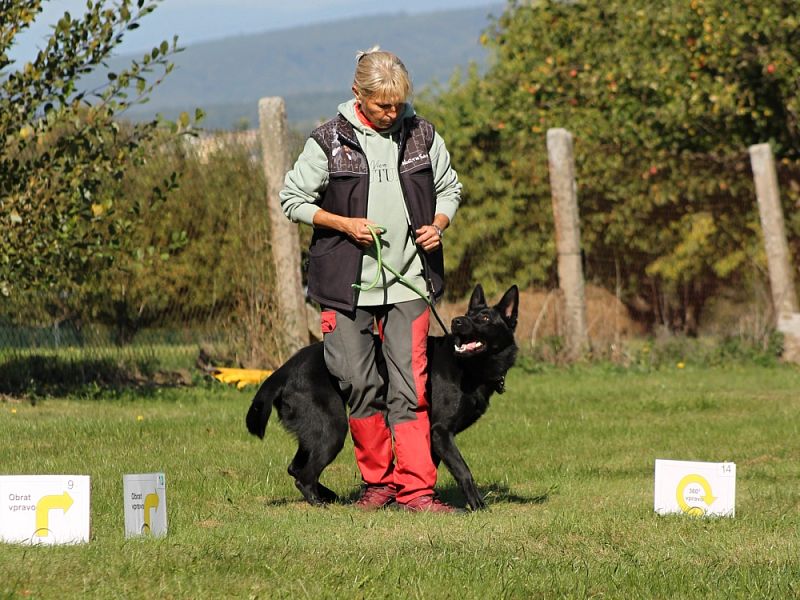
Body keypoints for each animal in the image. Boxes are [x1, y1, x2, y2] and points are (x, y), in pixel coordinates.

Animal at [244, 284, 520, 508]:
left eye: (484, 317)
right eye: (469, 315)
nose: (457, 321)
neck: (468, 368)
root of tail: (284, 369)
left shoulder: (431, 437)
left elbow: (426, 466)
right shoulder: (441, 432)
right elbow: (463, 470)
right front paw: (477, 504)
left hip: (313, 431)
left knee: (295, 467)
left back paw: (329, 495)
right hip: (332, 430)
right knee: (303, 476)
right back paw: (320, 503)